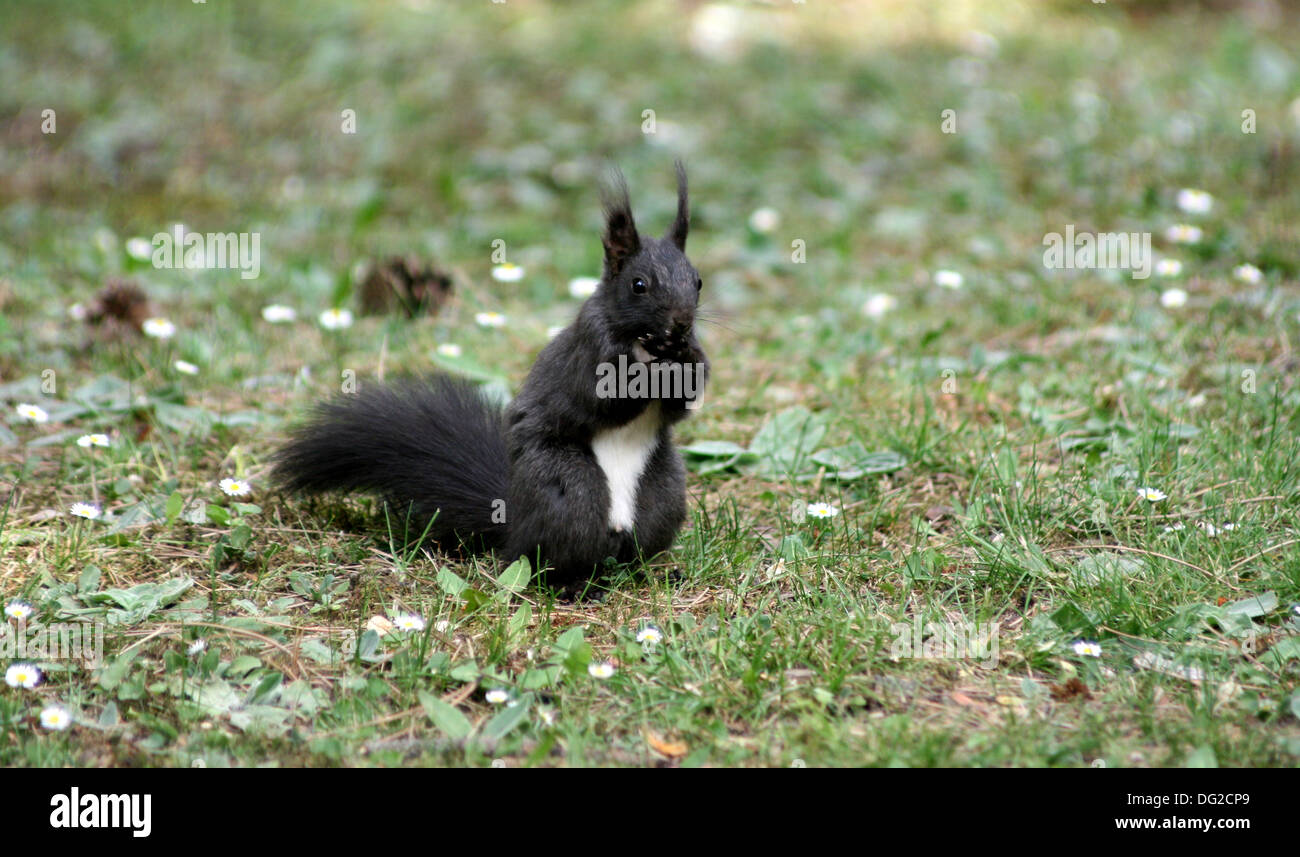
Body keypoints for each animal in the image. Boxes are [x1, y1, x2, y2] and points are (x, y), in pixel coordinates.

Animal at [267, 164, 707, 590]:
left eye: (698, 281)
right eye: (639, 285)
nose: (681, 323)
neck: (647, 343)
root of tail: (514, 528)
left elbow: (682, 401)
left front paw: (685, 362)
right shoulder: (590, 350)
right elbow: (605, 399)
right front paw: (650, 373)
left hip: (662, 495)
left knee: (633, 551)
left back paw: (653, 573)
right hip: (569, 491)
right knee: (551, 557)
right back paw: (572, 585)